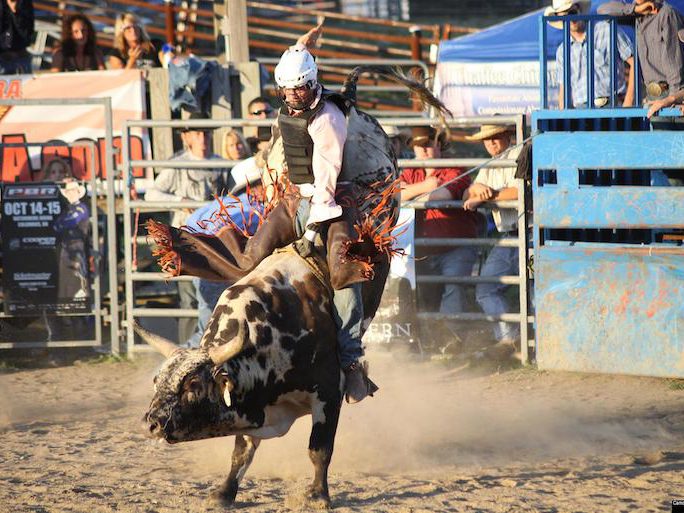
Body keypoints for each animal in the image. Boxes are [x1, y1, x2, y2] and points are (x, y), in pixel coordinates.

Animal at [138, 66, 448, 506]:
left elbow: (319, 449)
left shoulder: (328, 392)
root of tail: (348, 97)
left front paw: (317, 496)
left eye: (193, 385)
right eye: (157, 380)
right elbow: (242, 451)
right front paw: (224, 492)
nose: (151, 422)